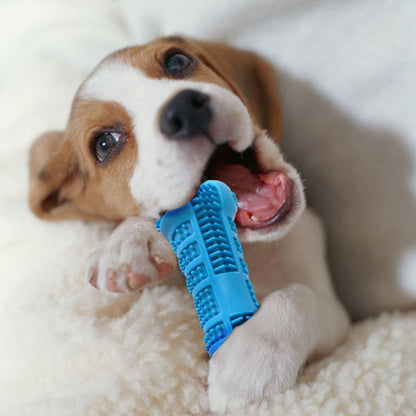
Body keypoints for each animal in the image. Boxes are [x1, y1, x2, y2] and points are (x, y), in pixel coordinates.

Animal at [28, 36, 350, 413]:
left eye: (177, 61)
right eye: (105, 143)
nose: (183, 109)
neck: (253, 252)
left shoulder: (338, 313)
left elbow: (297, 297)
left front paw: (250, 360)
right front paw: (128, 241)